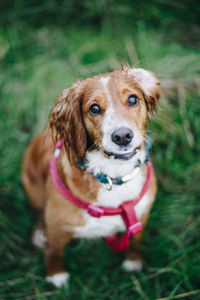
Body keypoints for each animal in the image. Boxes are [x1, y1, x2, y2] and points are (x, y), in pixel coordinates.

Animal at [22, 67, 161, 288]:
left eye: (133, 99)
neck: (112, 176)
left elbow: (135, 240)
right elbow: (54, 251)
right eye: (94, 108)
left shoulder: (140, 215)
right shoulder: (57, 228)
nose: (122, 136)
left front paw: (133, 261)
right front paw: (55, 275)